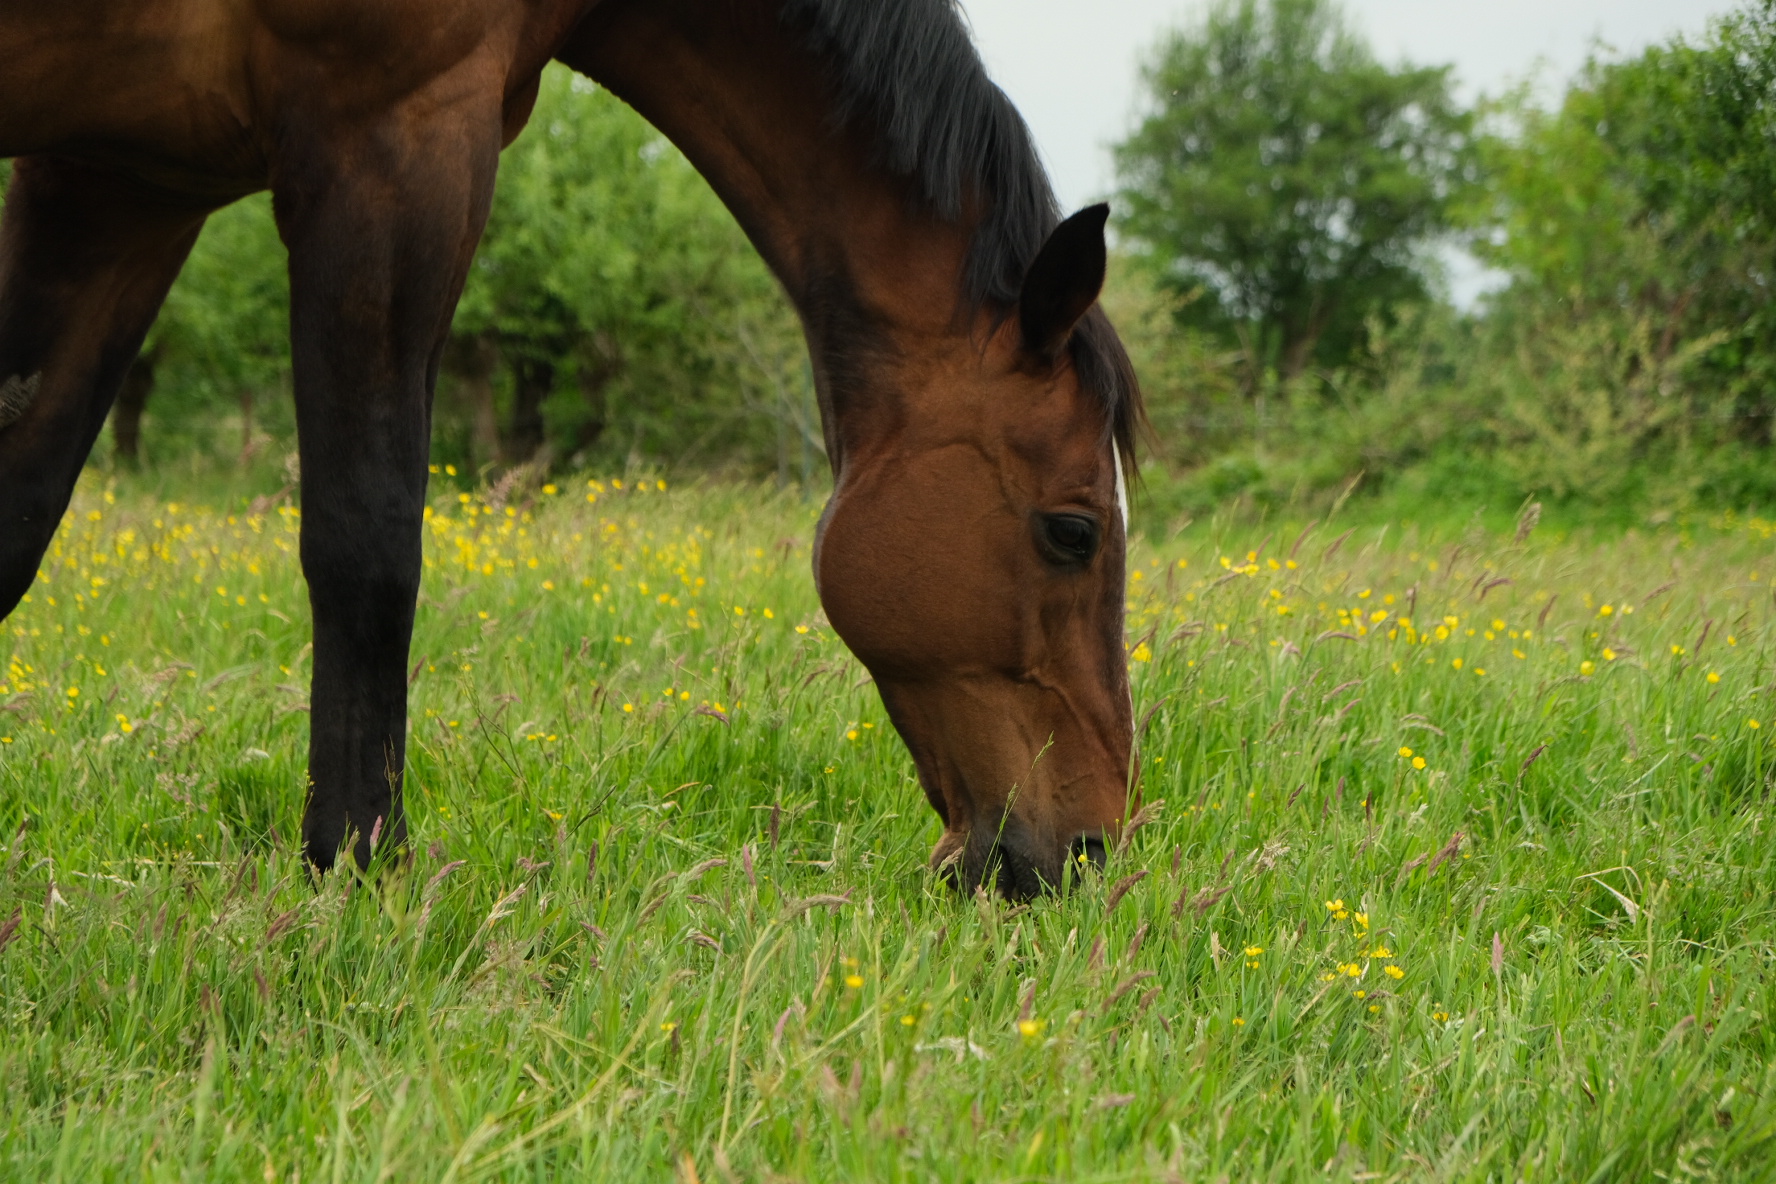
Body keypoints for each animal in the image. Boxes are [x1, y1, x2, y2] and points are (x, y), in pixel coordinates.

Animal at [0, 0, 1143, 899]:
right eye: (1073, 531)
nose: (1094, 849)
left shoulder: (123, 175)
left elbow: (20, 510)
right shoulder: (392, 142)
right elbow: (368, 546)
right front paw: (359, 863)